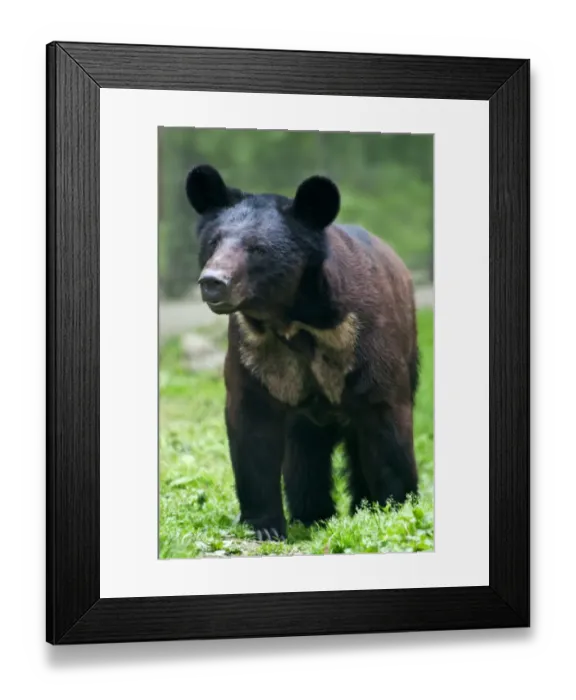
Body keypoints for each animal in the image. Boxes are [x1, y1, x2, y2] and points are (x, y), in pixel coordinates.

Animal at [185, 164, 420, 541]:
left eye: (257, 248)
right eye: (214, 242)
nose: (213, 282)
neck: (293, 320)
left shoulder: (365, 340)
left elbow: (387, 424)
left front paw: (394, 508)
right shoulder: (254, 352)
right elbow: (252, 429)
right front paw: (264, 526)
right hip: (303, 418)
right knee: (303, 456)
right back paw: (312, 515)